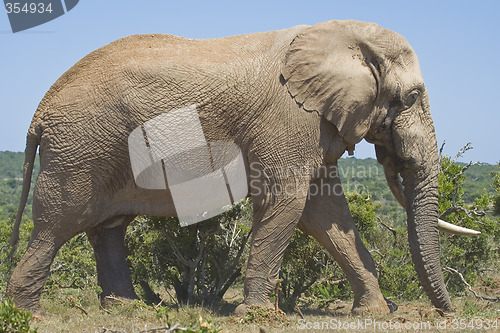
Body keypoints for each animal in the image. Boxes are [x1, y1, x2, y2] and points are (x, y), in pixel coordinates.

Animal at [7, 18, 476, 314]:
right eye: (411, 97)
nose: (447, 314)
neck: (342, 35)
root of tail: (40, 111)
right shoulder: (288, 119)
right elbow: (287, 201)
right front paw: (257, 316)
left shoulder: (313, 123)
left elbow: (326, 213)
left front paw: (375, 313)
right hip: (78, 151)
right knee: (57, 224)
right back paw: (29, 314)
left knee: (107, 228)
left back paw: (124, 311)